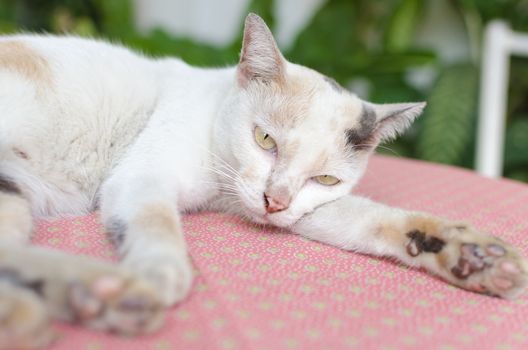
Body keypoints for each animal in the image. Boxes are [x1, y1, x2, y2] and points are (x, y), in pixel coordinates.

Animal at [1, 13, 528, 348]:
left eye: (325, 178)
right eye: (265, 139)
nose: (274, 200)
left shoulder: (305, 209)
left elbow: (370, 219)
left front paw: (469, 255)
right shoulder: (143, 174)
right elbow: (156, 218)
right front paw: (162, 268)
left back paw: (88, 298)